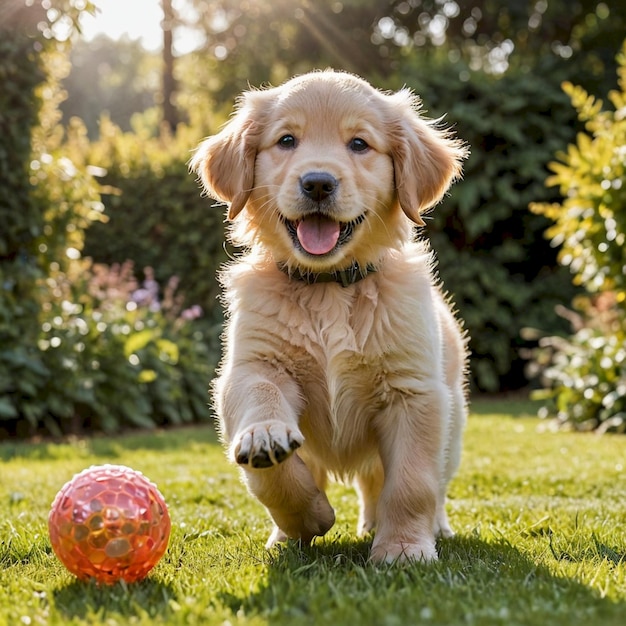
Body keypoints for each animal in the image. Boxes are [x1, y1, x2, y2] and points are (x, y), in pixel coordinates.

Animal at [190, 68, 468, 560]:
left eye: (359, 144)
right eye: (286, 140)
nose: (317, 183)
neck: (327, 287)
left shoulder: (414, 392)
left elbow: (412, 483)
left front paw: (403, 548)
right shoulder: (252, 366)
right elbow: (268, 460)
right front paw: (305, 511)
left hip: (452, 426)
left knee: (415, 483)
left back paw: (420, 527)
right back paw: (289, 534)